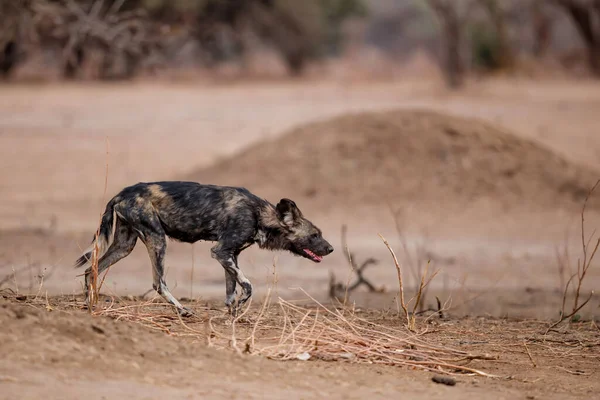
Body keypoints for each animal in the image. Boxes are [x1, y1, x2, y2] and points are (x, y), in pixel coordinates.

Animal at [74, 180, 332, 316]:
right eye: (314, 235)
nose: (330, 249)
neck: (259, 215)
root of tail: (121, 193)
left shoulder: (230, 256)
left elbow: (230, 290)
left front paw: (231, 314)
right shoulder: (221, 252)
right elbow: (248, 286)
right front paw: (238, 307)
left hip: (124, 245)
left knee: (90, 270)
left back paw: (90, 304)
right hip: (158, 240)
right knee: (158, 283)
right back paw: (182, 310)